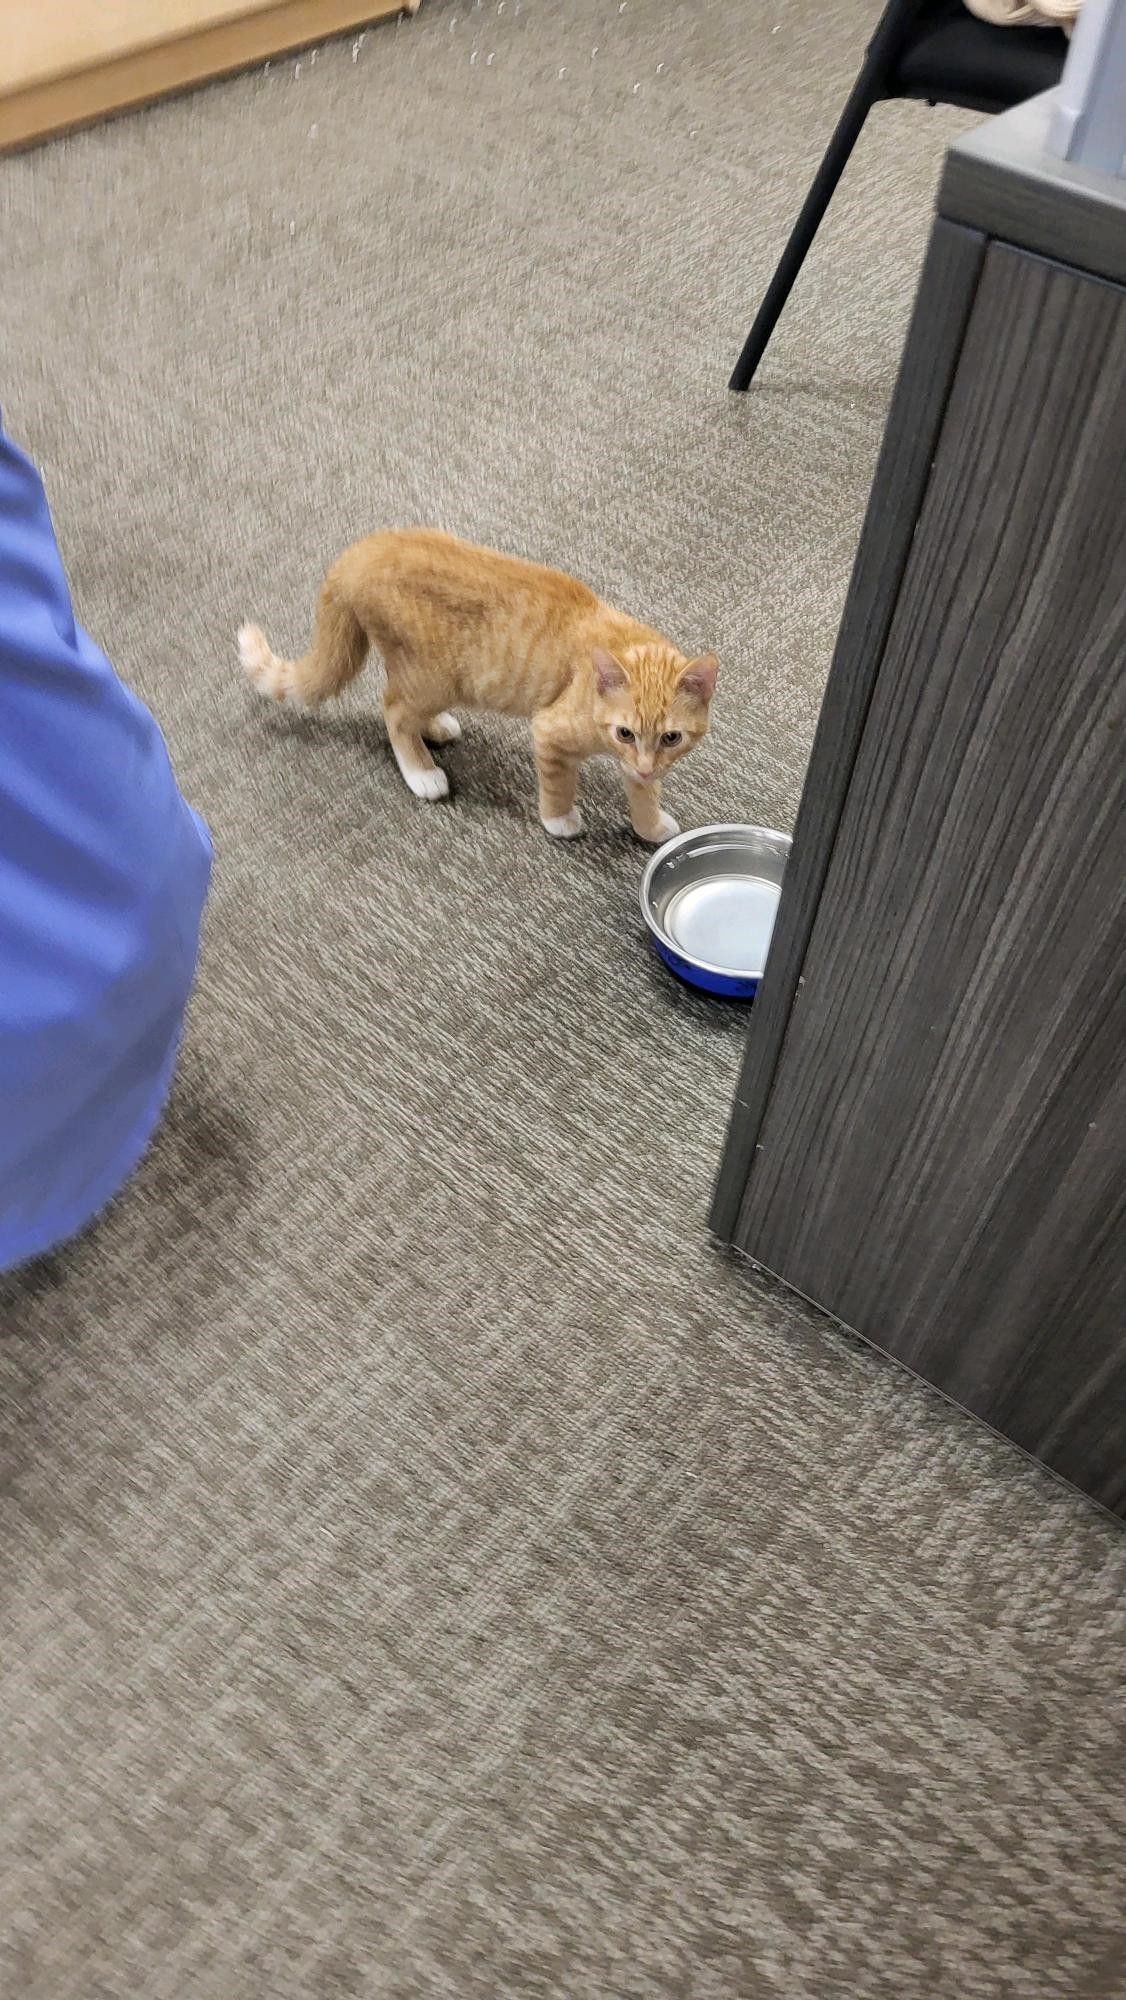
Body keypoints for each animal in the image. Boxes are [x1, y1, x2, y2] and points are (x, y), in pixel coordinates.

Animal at [240, 528, 724, 840]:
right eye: (624, 732)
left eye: (671, 737)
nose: (643, 765)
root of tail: (362, 551)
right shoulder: (551, 732)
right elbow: (558, 787)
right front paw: (560, 820)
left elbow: (645, 795)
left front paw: (650, 826)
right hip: (435, 677)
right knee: (392, 708)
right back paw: (421, 772)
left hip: (428, 676)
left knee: (400, 701)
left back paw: (435, 728)